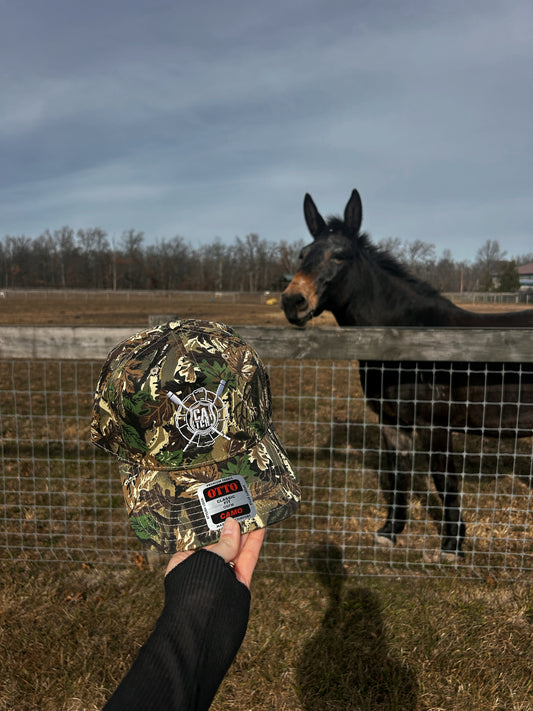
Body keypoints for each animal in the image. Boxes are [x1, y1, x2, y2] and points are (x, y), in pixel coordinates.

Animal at [282, 189, 532, 556]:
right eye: (302, 254)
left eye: (339, 256)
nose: (292, 302)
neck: (405, 343)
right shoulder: (392, 421)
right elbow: (398, 475)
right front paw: (390, 531)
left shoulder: (435, 425)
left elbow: (445, 480)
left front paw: (452, 545)